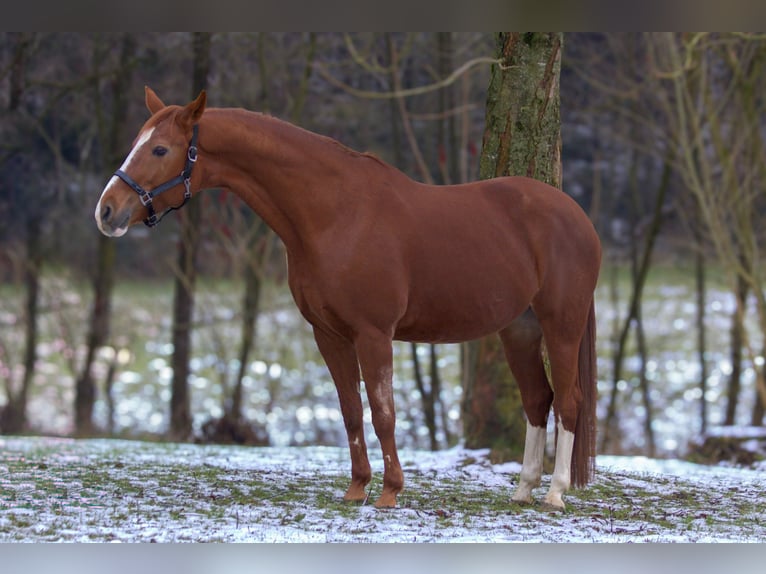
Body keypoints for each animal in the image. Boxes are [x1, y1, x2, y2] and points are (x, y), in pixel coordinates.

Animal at [94, 88, 600, 510]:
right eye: (138, 143)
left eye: (160, 149)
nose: (107, 211)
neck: (336, 213)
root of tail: (577, 215)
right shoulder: (329, 334)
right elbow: (351, 412)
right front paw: (357, 489)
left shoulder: (373, 334)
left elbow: (383, 414)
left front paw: (391, 492)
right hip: (519, 330)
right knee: (537, 399)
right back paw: (523, 490)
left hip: (561, 325)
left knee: (568, 401)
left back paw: (555, 494)